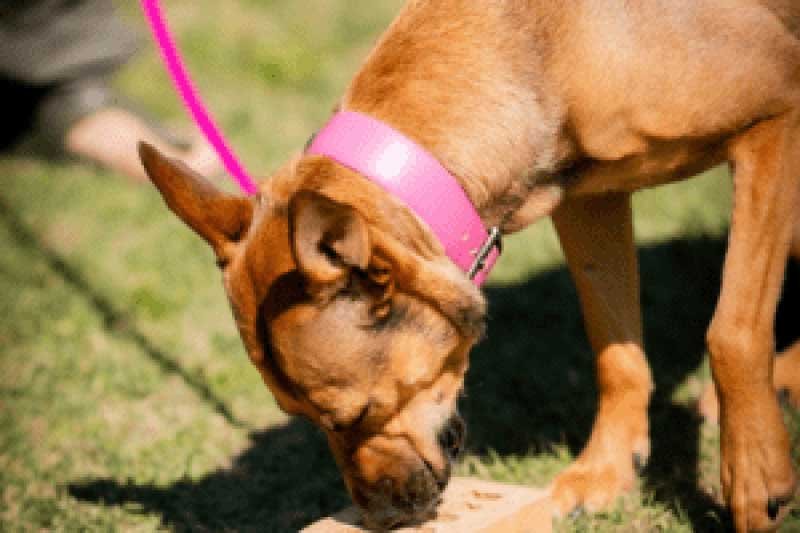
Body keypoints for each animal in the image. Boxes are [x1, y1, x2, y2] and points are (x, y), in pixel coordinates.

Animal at [139, 2, 800, 528]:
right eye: (299, 416)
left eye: (355, 415)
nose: (378, 516)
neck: (552, 48)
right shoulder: (589, 201)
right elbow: (615, 350)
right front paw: (608, 471)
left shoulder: (777, 123)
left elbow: (732, 331)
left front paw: (753, 476)